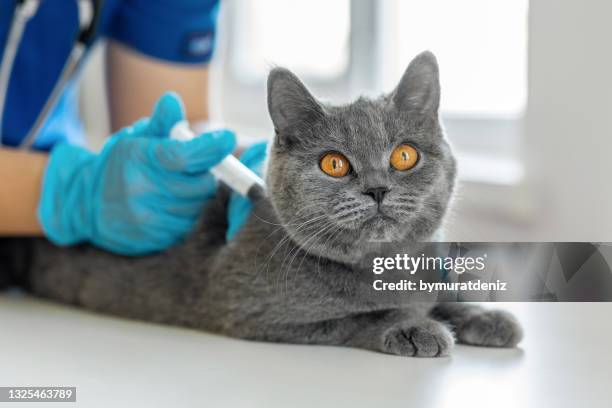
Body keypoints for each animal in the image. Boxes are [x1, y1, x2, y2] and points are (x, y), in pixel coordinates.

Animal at [3, 51, 520, 356]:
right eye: (334, 164)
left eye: (404, 156)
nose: (377, 189)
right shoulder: (251, 311)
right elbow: (360, 315)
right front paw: (416, 327)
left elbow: (440, 297)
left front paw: (486, 316)